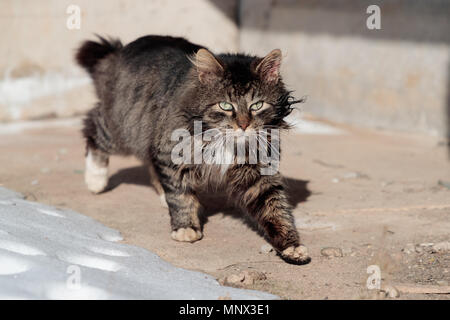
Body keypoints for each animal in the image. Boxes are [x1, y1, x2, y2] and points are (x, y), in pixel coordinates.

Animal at [76, 35, 310, 264]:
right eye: (226, 106)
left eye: (257, 105)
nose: (243, 125)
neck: (225, 141)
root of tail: (121, 51)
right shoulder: (172, 154)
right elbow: (181, 195)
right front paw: (186, 228)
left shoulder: (259, 172)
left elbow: (275, 210)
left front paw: (291, 246)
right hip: (123, 127)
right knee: (93, 127)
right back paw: (96, 180)